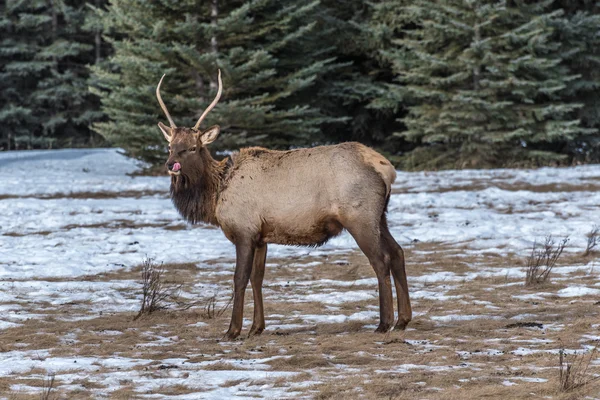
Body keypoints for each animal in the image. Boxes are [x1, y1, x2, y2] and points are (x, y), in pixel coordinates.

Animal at [157, 70, 410, 340]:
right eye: (170, 146)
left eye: (193, 147)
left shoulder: (244, 230)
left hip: (359, 217)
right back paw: (403, 320)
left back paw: (384, 323)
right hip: (380, 216)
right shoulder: (261, 236)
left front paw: (233, 330)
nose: (171, 165)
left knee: (381, 259)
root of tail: (386, 169)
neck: (215, 195)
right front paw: (256, 327)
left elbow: (239, 278)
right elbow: (257, 278)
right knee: (398, 252)